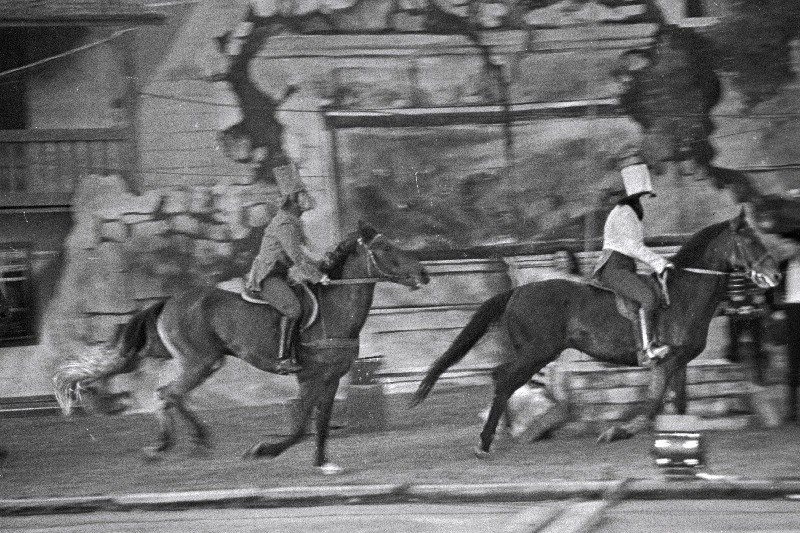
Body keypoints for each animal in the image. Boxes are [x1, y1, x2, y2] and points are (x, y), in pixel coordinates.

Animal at [54, 222, 432, 472]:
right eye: (386, 249)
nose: (424, 273)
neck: (335, 307)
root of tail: (170, 301)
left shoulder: (331, 377)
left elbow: (321, 421)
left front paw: (323, 463)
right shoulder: (310, 376)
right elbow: (300, 425)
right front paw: (264, 450)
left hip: (190, 358)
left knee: (164, 393)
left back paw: (167, 444)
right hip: (200, 362)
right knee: (170, 393)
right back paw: (188, 442)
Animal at [412, 210, 780, 456]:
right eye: (749, 239)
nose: (775, 274)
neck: (683, 293)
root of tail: (516, 291)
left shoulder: (680, 362)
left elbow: (678, 404)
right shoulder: (665, 362)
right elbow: (651, 405)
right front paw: (618, 431)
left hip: (533, 353)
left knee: (501, 377)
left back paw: (498, 431)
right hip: (538, 352)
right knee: (503, 379)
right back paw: (487, 440)